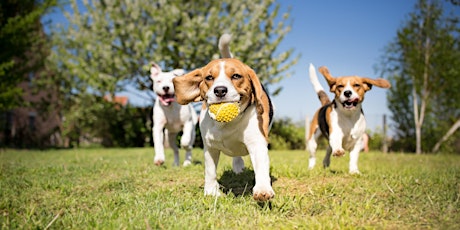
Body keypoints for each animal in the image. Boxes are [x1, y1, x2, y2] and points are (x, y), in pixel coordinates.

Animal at [172, 34, 274, 201]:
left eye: (236, 76)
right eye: (208, 77)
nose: (220, 90)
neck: (227, 124)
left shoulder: (257, 143)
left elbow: (261, 167)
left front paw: (262, 189)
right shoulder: (210, 147)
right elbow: (210, 171)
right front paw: (211, 191)